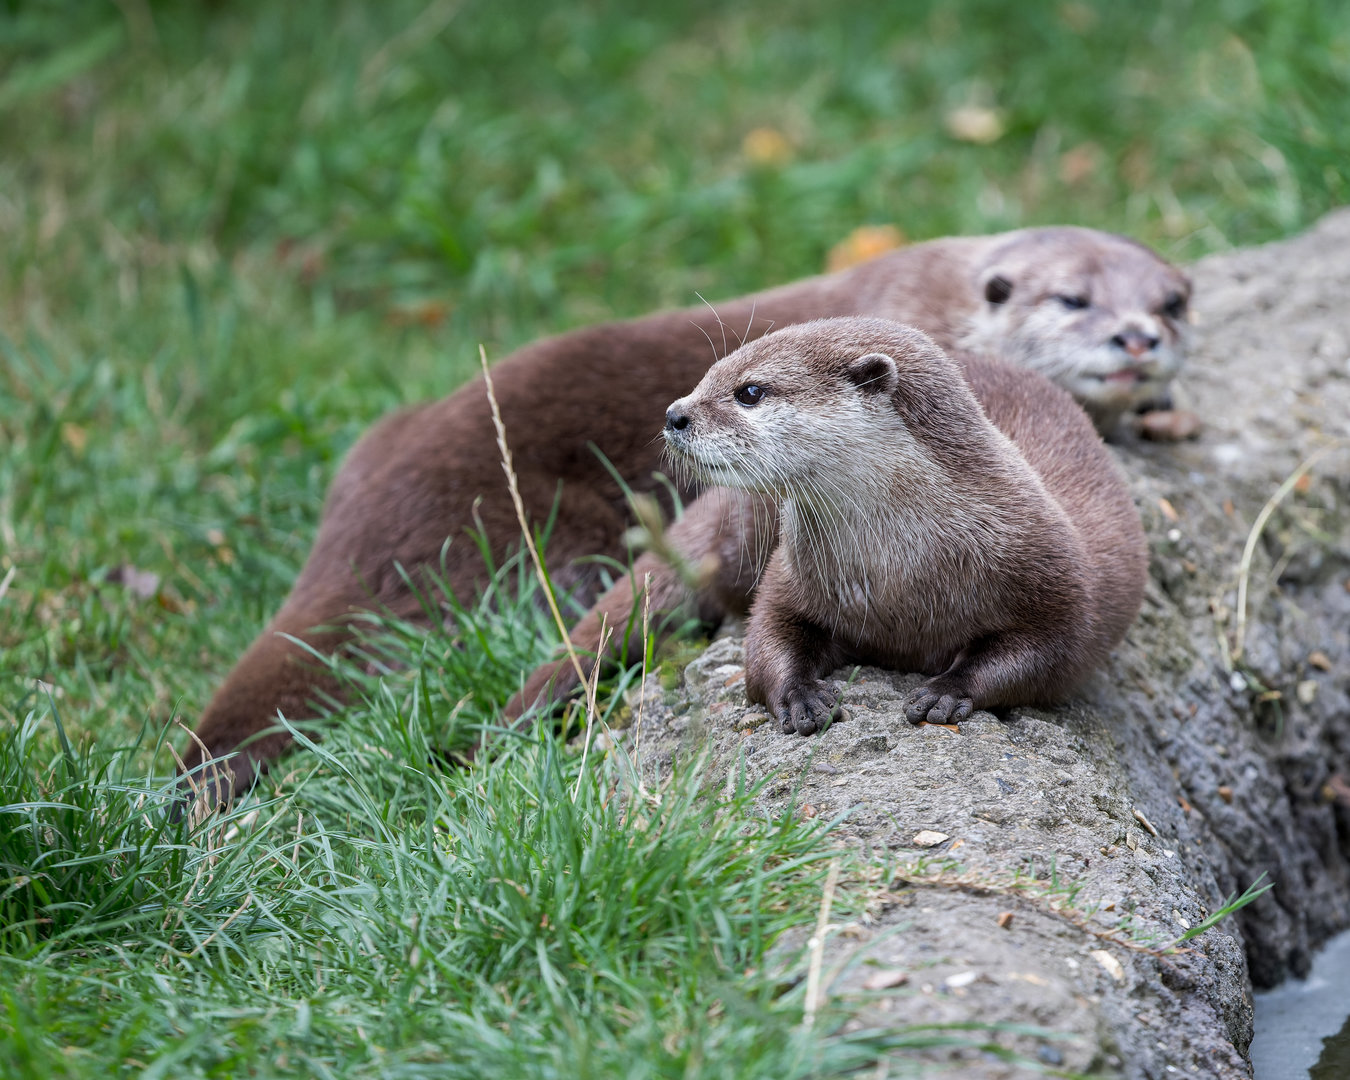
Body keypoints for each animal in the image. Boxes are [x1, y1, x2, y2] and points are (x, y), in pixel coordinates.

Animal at [664, 317, 1147, 731]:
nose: (674, 415)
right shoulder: (791, 575)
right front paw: (801, 696)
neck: (898, 574)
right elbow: (767, 635)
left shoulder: (1058, 586)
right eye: (708, 374)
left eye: (750, 391)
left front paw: (945, 691)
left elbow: (1049, 657)